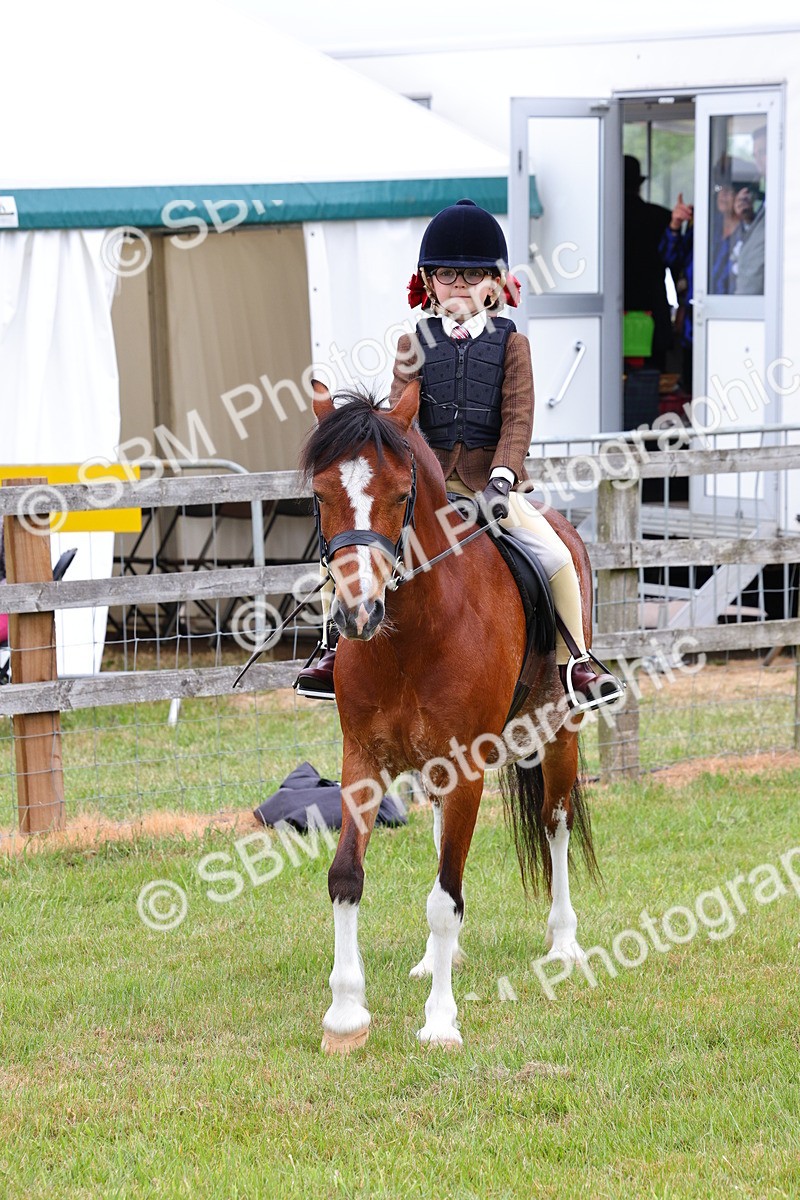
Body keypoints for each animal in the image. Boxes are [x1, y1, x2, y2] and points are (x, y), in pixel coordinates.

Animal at [301, 379, 599, 1053]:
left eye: (401, 494)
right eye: (321, 494)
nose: (357, 614)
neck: (412, 631)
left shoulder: (466, 766)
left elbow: (444, 898)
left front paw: (440, 1022)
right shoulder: (362, 759)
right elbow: (347, 877)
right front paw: (345, 1017)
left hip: (560, 732)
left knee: (556, 823)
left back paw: (564, 945)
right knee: (444, 840)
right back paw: (440, 958)